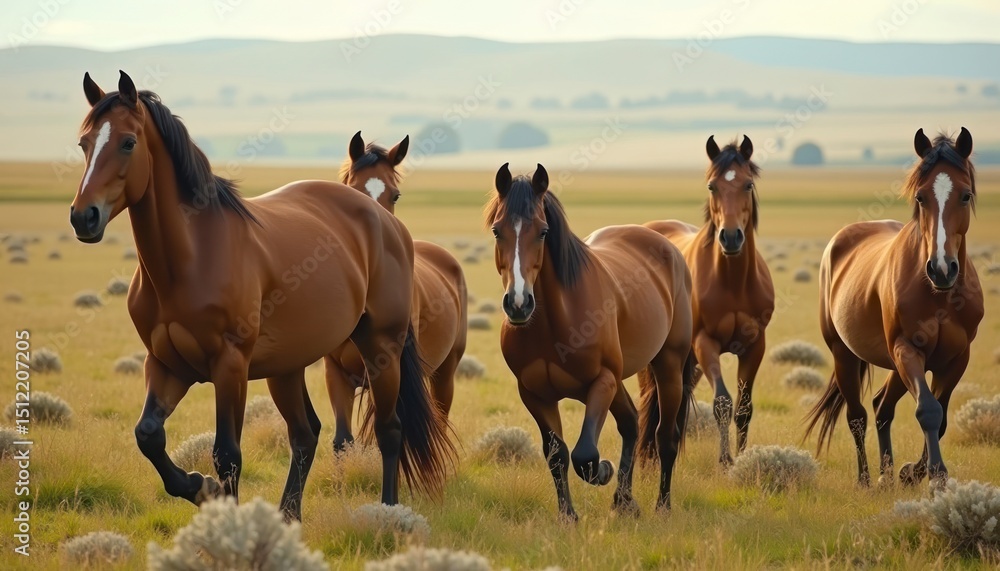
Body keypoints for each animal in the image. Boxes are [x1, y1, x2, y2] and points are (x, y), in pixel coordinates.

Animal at [325, 131, 467, 452]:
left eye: (395, 195)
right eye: (352, 189)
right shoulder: (336, 373)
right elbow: (343, 440)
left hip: (445, 372)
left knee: (441, 418)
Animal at [485, 163, 695, 519]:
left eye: (543, 231)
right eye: (498, 231)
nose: (518, 304)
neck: (555, 323)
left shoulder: (602, 381)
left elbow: (584, 455)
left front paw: (603, 471)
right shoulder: (534, 394)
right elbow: (557, 454)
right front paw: (568, 516)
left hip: (668, 365)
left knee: (664, 437)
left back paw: (661, 506)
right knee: (631, 424)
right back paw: (624, 501)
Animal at [645, 135, 774, 466]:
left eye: (748, 185)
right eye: (712, 186)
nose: (730, 237)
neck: (733, 283)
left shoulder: (755, 346)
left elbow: (744, 407)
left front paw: (743, 457)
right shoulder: (706, 343)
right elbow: (722, 403)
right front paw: (725, 460)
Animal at [805, 128, 983, 488]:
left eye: (965, 195)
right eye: (921, 197)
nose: (941, 269)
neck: (940, 295)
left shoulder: (956, 359)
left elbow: (941, 416)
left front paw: (912, 472)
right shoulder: (907, 349)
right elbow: (928, 410)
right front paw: (935, 475)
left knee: (881, 407)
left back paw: (887, 474)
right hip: (845, 354)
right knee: (858, 415)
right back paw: (865, 479)